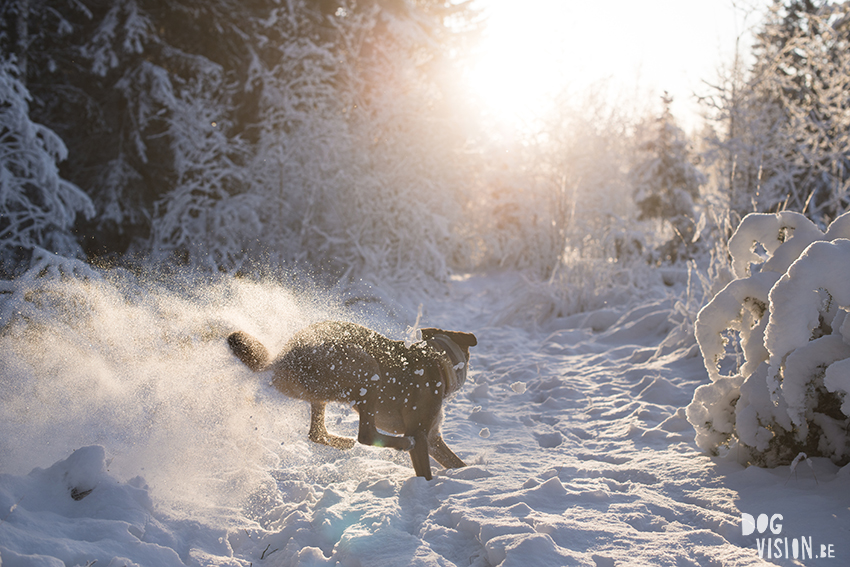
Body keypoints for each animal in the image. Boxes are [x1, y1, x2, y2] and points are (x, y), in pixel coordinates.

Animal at [225, 320, 476, 480]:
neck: (438, 361)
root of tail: (280, 361)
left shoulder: (433, 438)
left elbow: (456, 462)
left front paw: (472, 477)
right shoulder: (421, 434)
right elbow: (426, 472)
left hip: (326, 392)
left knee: (316, 433)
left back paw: (342, 442)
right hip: (366, 367)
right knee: (365, 434)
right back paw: (402, 444)